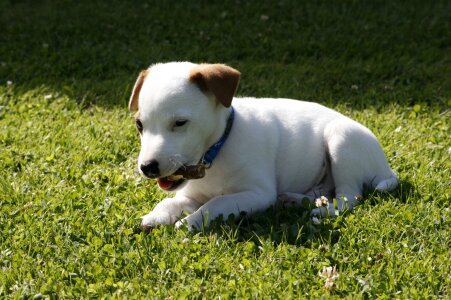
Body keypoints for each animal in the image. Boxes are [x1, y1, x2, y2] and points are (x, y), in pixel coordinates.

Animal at [128, 61, 400, 230]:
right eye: (139, 124)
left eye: (180, 123)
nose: (147, 168)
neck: (218, 151)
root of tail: (386, 168)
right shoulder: (191, 194)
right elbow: (171, 202)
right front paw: (156, 215)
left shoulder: (258, 193)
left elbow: (217, 203)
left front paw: (191, 222)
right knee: (323, 192)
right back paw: (295, 199)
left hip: (342, 140)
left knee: (349, 197)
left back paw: (323, 211)